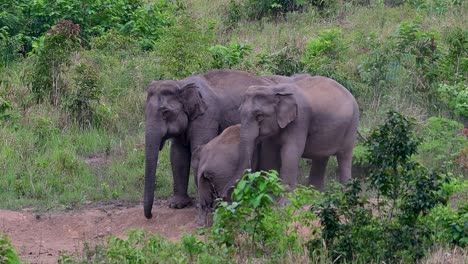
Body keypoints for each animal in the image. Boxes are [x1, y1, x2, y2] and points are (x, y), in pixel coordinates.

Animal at [143, 68, 276, 219]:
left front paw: (200, 205)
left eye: (165, 112)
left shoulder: (207, 116)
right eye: (144, 112)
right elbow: (177, 155)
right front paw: (176, 205)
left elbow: (199, 146)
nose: (150, 216)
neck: (181, 84)